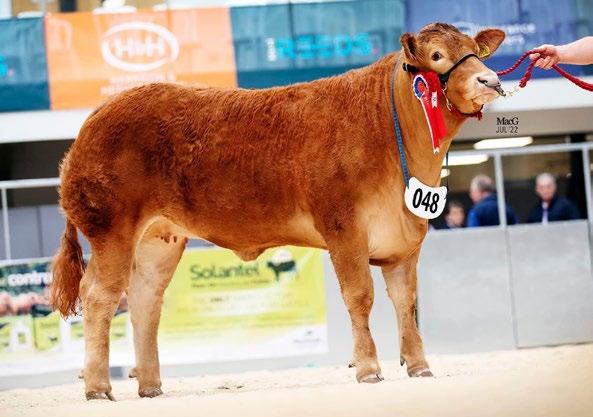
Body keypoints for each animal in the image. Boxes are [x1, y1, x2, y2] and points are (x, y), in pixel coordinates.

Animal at [50, 22, 505, 400]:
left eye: (474, 50)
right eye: (436, 56)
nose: (490, 80)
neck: (390, 130)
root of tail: (95, 118)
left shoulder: (404, 241)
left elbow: (406, 303)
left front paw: (420, 367)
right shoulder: (343, 228)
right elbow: (359, 296)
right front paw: (369, 369)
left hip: (159, 239)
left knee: (145, 300)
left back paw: (150, 386)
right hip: (112, 230)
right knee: (99, 296)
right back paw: (98, 387)